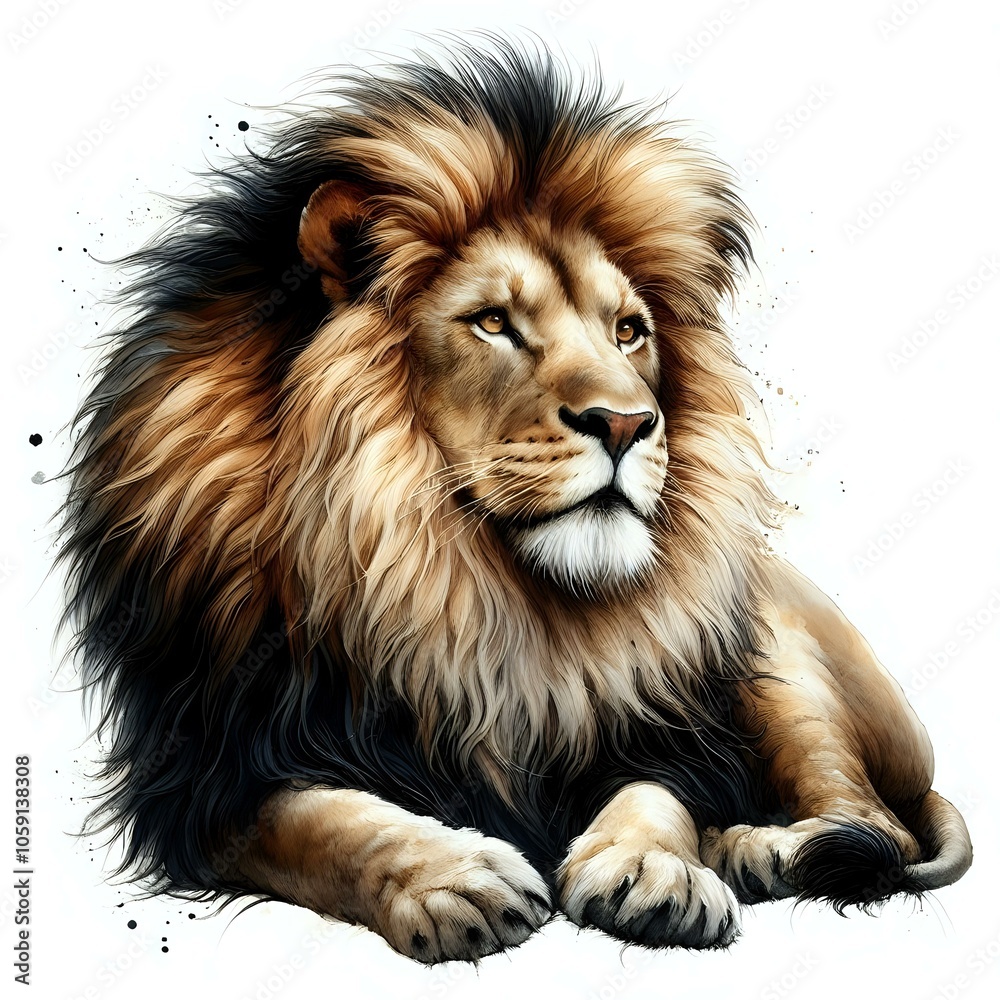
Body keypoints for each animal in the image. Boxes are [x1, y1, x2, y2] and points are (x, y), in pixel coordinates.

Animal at [60, 39, 971, 963]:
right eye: (493, 322)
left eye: (629, 332)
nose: (627, 422)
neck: (462, 589)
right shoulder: (205, 775)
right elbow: (325, 815)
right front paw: (451, 877)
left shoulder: (670, 729)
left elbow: (658, 796)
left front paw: (656, 871)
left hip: (783, 665)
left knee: (874, 822)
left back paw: (762, 849)